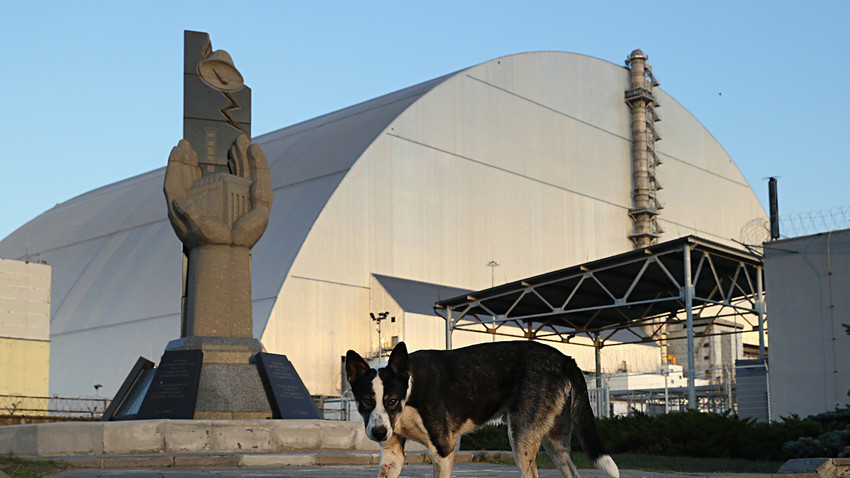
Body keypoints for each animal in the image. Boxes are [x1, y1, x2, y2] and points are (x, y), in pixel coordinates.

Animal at [344, 342, 616, 476]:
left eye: (391, 400)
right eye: (366, 400)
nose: (379, 433)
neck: (410, 391)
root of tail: (565, 359)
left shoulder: (443, 449)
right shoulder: (392, 456)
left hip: (522, 439)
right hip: (554, 442)